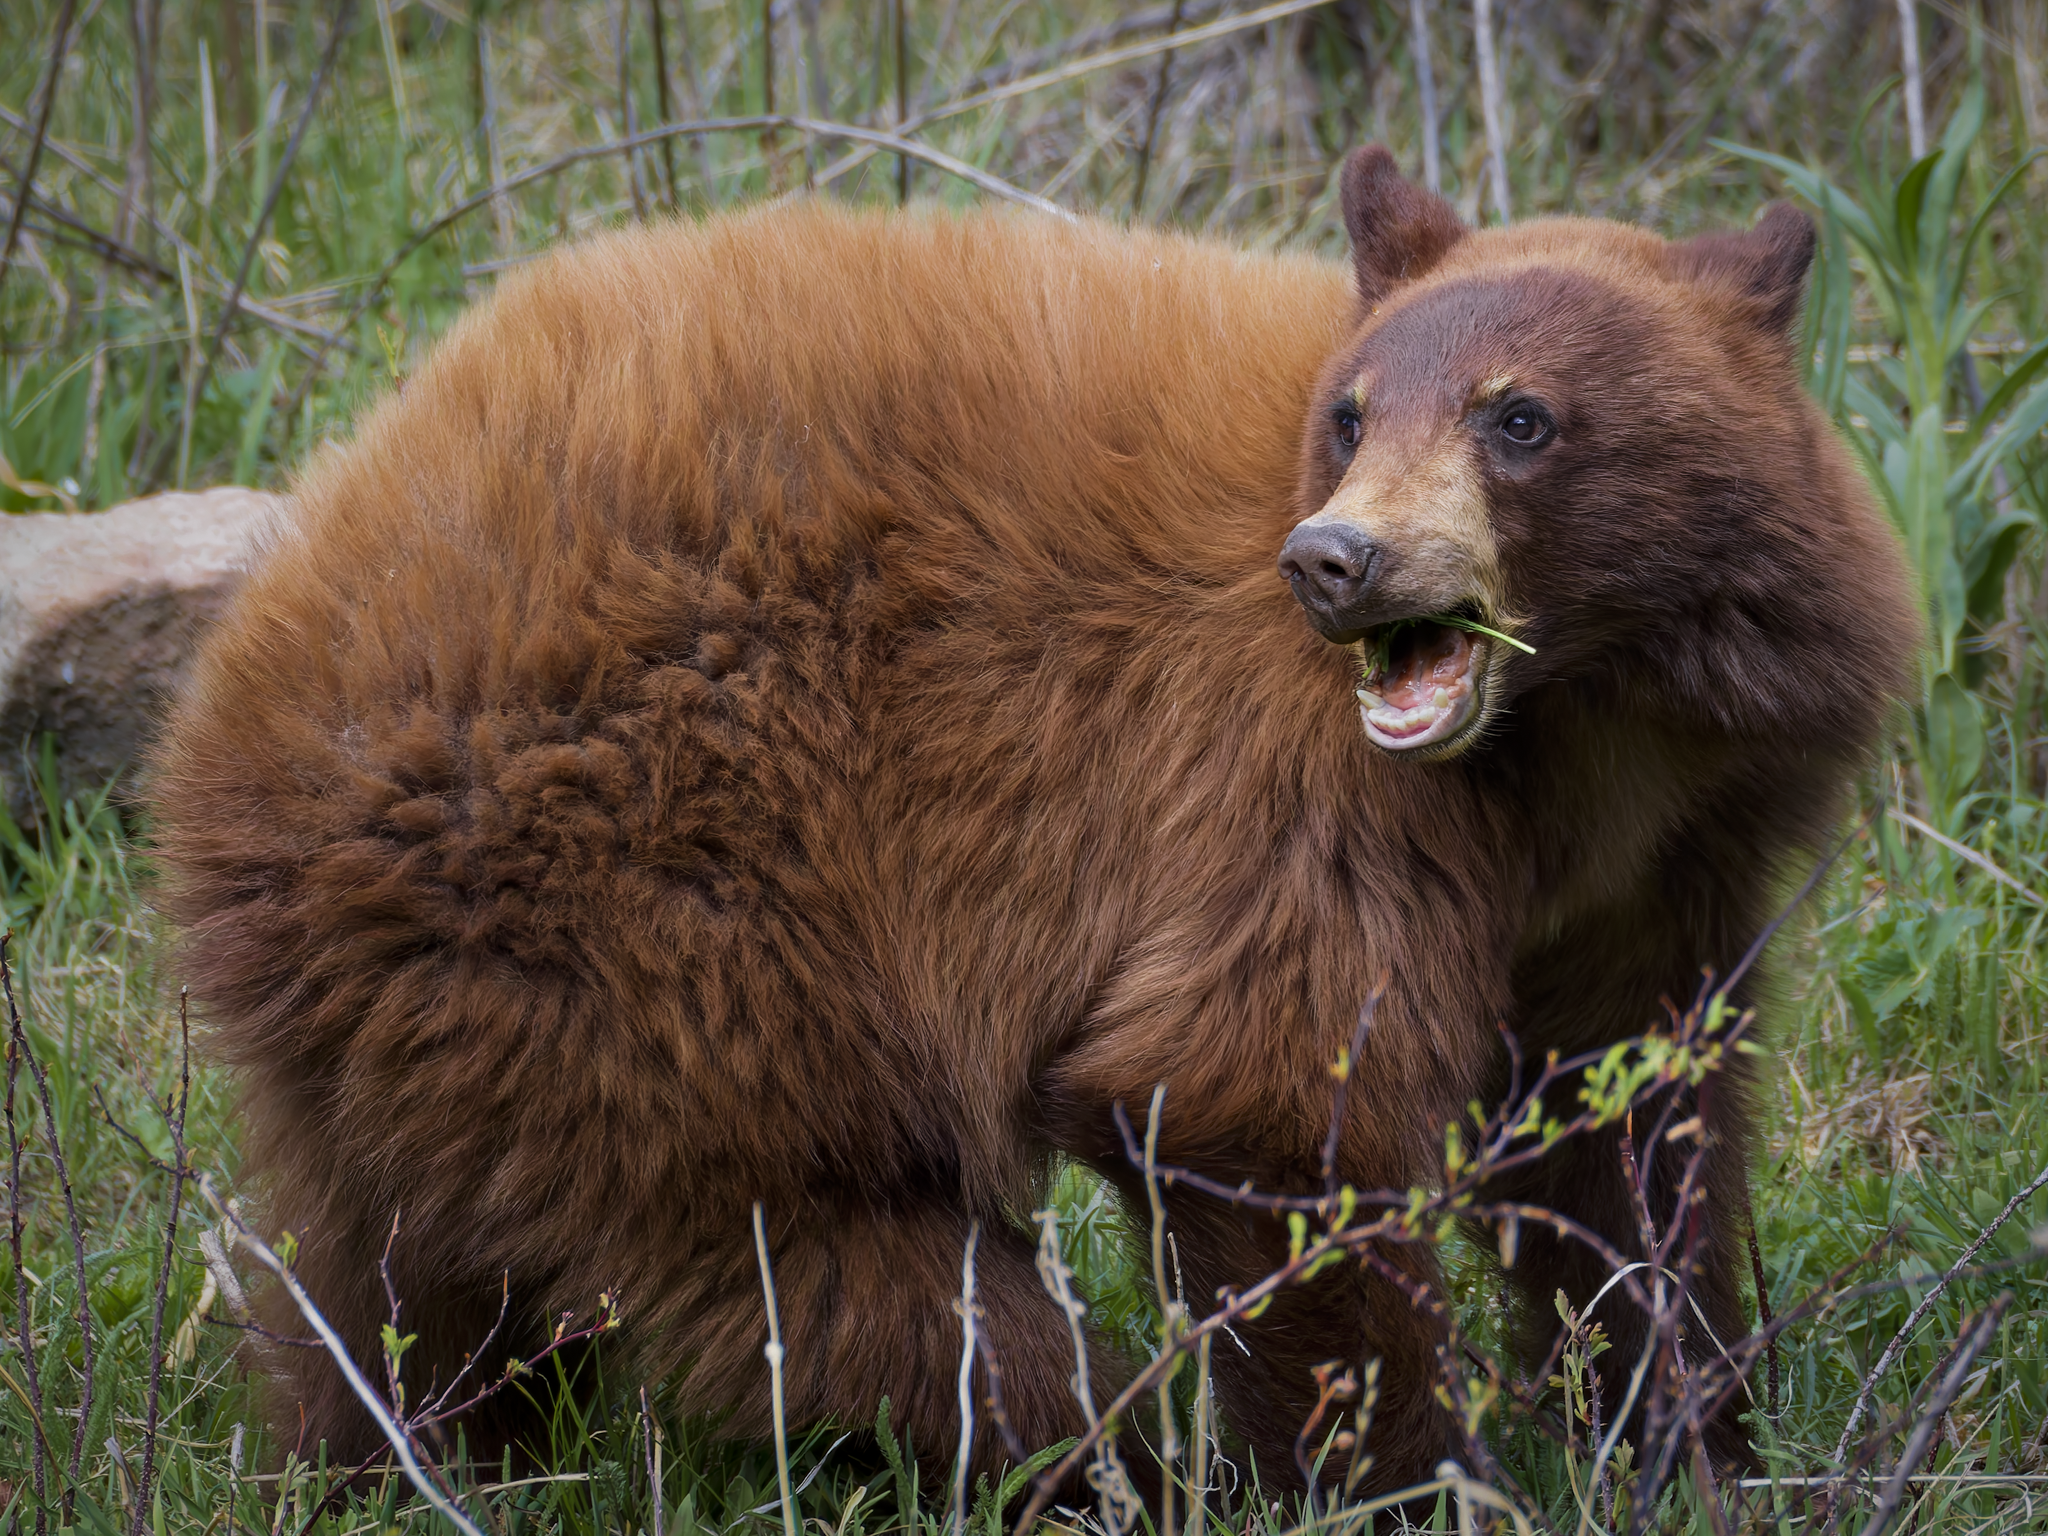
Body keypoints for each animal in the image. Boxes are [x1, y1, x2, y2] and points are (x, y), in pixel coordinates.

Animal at [149, 145, 1914, 1499]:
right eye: (1353, 412)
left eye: (1520, 416)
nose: (1334, 561)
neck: (1585, 727)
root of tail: (237, 707)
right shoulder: (1292, 787)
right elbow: (1249, 1091)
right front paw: (1414, 1479)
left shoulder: (1663, 859)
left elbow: (1632, 1127)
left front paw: (1689, 1429)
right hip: (646, 935)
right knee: (858, 1284)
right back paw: (1097, 1456)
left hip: (410, 1026)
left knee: (392, 1285)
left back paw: (383, 1462)